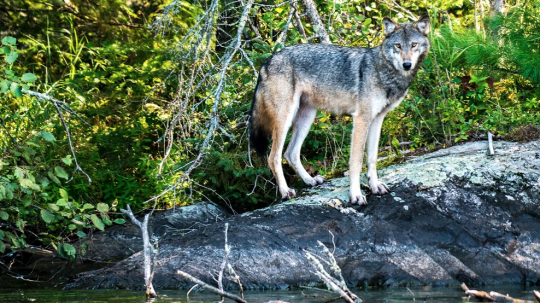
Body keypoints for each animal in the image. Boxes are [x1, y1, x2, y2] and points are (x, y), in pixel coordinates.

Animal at [249, 13, 430, 204]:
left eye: (413, 45)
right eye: (398, 46)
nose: (407, 64)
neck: (385, 73)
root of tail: (266, 61)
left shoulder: (377, 120)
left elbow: (372, 158)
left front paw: (374, 186)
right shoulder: (361, 119)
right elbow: (356, 162)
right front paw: (356, 194)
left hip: (306, 119)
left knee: (290, 153)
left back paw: (310, 181)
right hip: (285, 120)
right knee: (274, 157)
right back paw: (286, 192)